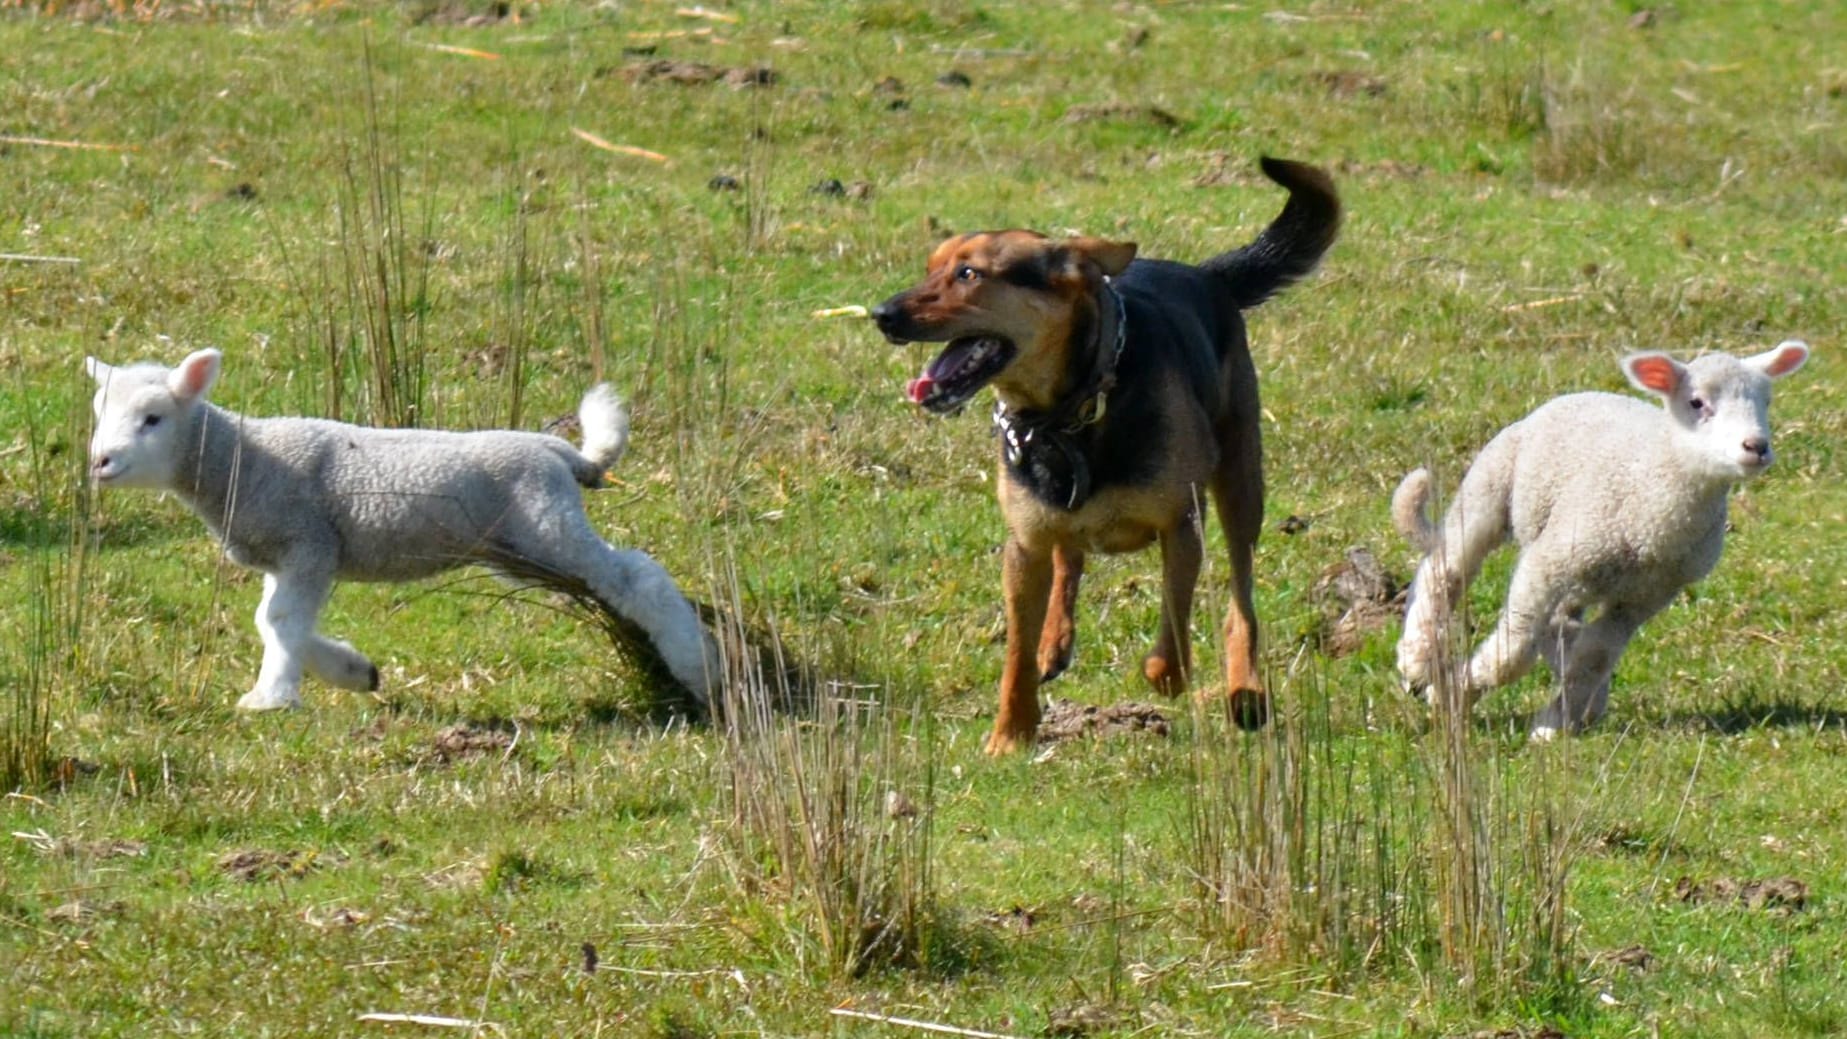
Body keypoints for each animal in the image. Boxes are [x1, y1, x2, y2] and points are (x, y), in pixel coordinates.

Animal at [88, 348, 720, 716]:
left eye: (153, 419)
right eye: (99, 413)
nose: (100, 461)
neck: (240, 458)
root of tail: (559, 452)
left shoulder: (309, 543)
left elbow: (281, 621)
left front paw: (270, 698)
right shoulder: (288, 554)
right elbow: (272, 621)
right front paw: (352, 671)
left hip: (548, 528)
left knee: (639, 575)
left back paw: (700, 668)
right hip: (522, 549)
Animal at [871, 156, 1337, 756]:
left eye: (969, 274)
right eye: (931, 268)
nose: (882, 314)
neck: (1068, 413)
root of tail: (1206, 275)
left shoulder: (1181, 524)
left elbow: (1174, 618)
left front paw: (1168, 675)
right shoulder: (1024, 544)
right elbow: (1016, 651)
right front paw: (1010, 733)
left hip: (1240, 480)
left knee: (1241, 599)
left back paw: (1244, 691)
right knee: (1069, 558)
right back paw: (1054, 639)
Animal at [1388, 341, 1810, 738]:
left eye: (1766, 401)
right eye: (1696, 402)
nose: (1756, 447)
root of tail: (1579, 394)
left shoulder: (1648, 595)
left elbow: (1595, 657)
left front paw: (1553, 725)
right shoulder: (1548, 560)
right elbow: (1513, 652)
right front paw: (1452, 693)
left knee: (1560, 627)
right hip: (1490, 488)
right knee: (1445, 570)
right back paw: (1416, 659)